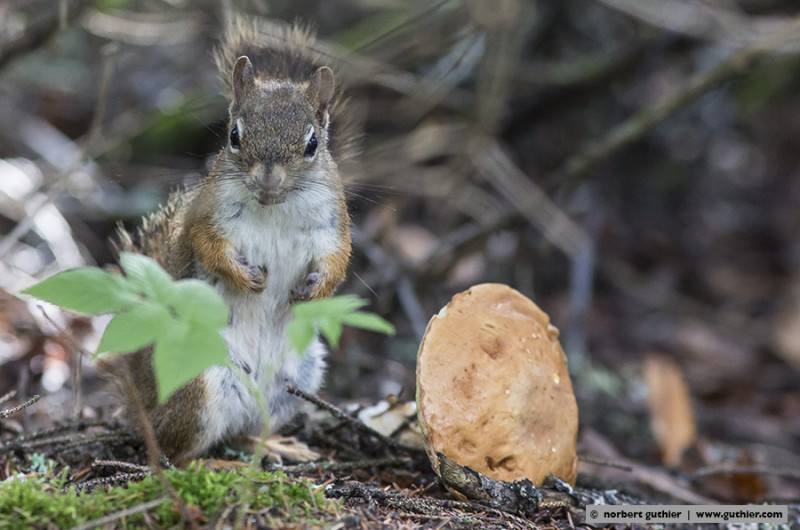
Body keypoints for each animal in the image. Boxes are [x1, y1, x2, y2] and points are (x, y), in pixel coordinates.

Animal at [103, 17, 352, 465]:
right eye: (234, 135)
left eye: (312, 143)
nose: (268, 179)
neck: (274, 208)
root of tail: (145, 408)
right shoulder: (206, 219)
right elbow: (209, 249)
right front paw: (247, 278)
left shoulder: (333, 225)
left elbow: (338, 260)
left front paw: (314, 289)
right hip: (198, 384)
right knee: (178, 453)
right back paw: (217, 464)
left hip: (295, 381)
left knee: (243, 432)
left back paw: (276, 445)